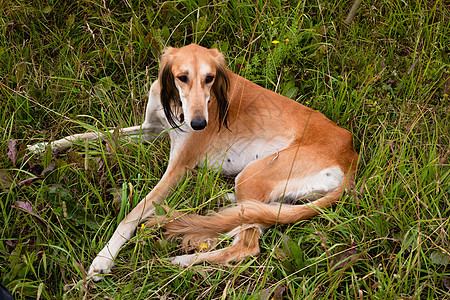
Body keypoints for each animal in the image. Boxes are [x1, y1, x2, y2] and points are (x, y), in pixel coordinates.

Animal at [28, 43, 358, 280]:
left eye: (210, 79)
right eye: (181, 77)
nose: (199, 124)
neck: (177, 103)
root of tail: (351, 154)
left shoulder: (178, 168)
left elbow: (133, 213)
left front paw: (104, 258)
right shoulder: (151, 131)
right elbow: (91, 134)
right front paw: (42, 146)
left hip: (254, 175)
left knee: (246, 246)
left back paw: (182, 260)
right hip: (265, 190)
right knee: (251, 220)